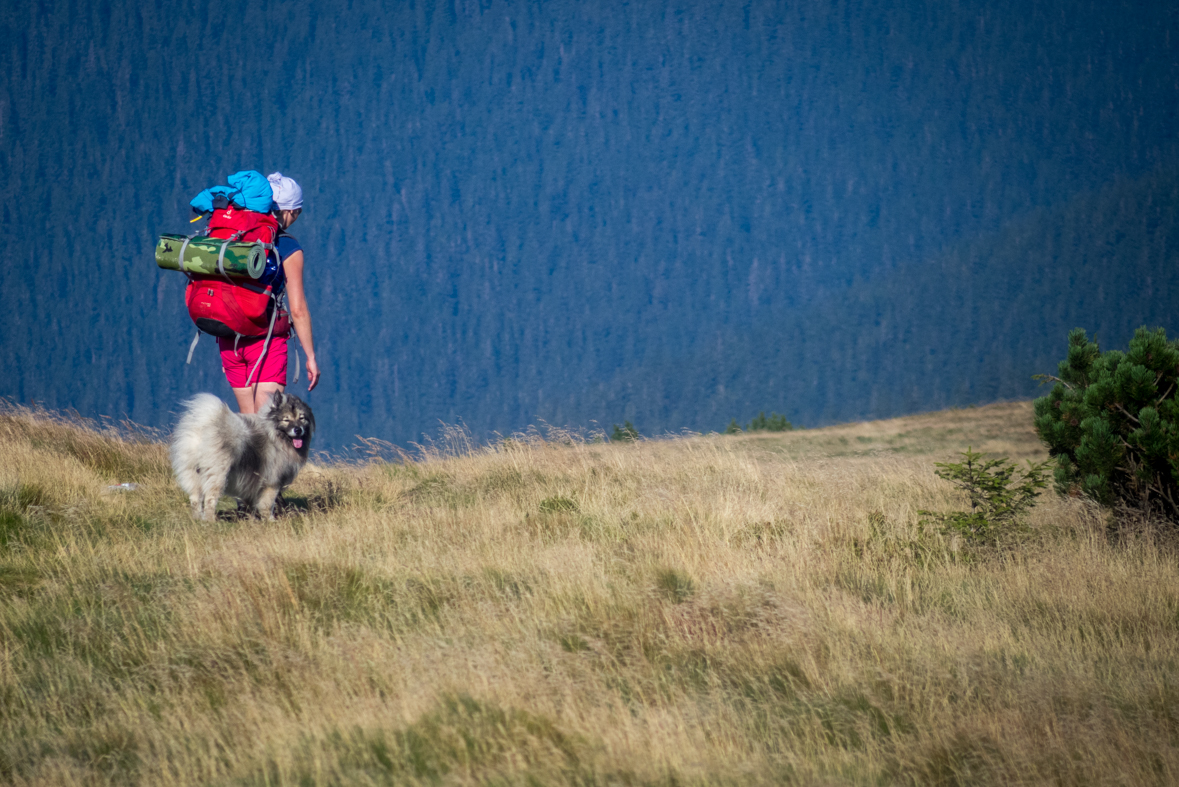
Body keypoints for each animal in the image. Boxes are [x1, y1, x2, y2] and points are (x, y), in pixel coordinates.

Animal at [172, 391, 315, 518]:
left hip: (193, 473)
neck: (274, 436)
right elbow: (267, 504)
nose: (298, 430)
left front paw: (251, 518)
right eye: (286, 420)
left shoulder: (251, 481)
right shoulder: (271, 482)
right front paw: (270, 520)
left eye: (301, 418)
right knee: (210, 499)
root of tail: (202, 428)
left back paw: (198, 520)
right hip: (217, 475)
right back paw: (210, 521)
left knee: (195, 499)